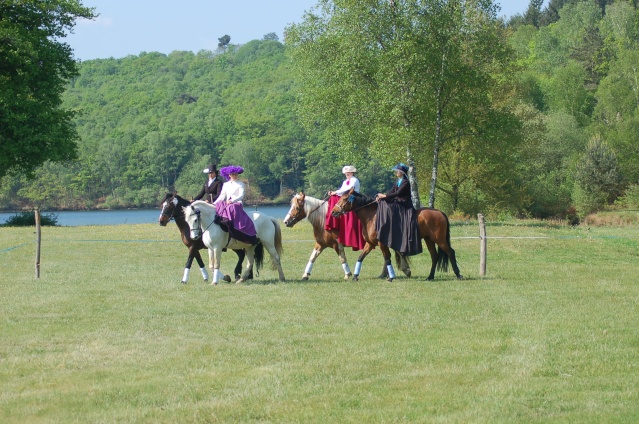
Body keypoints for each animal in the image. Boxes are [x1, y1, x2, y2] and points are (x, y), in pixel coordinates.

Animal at [332, 189, 462, 282]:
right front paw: (355, 276)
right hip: (429, 239)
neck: (372, 218)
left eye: (344, 198)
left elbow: (387, 258)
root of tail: (439, 212)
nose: (334, 212)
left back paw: (458, 275)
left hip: (439, 239)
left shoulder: (382, 243)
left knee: (450, 252)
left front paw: (391, 277)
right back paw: (430, 277)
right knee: (434, 256)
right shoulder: (370, 244)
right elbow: (360, 257)